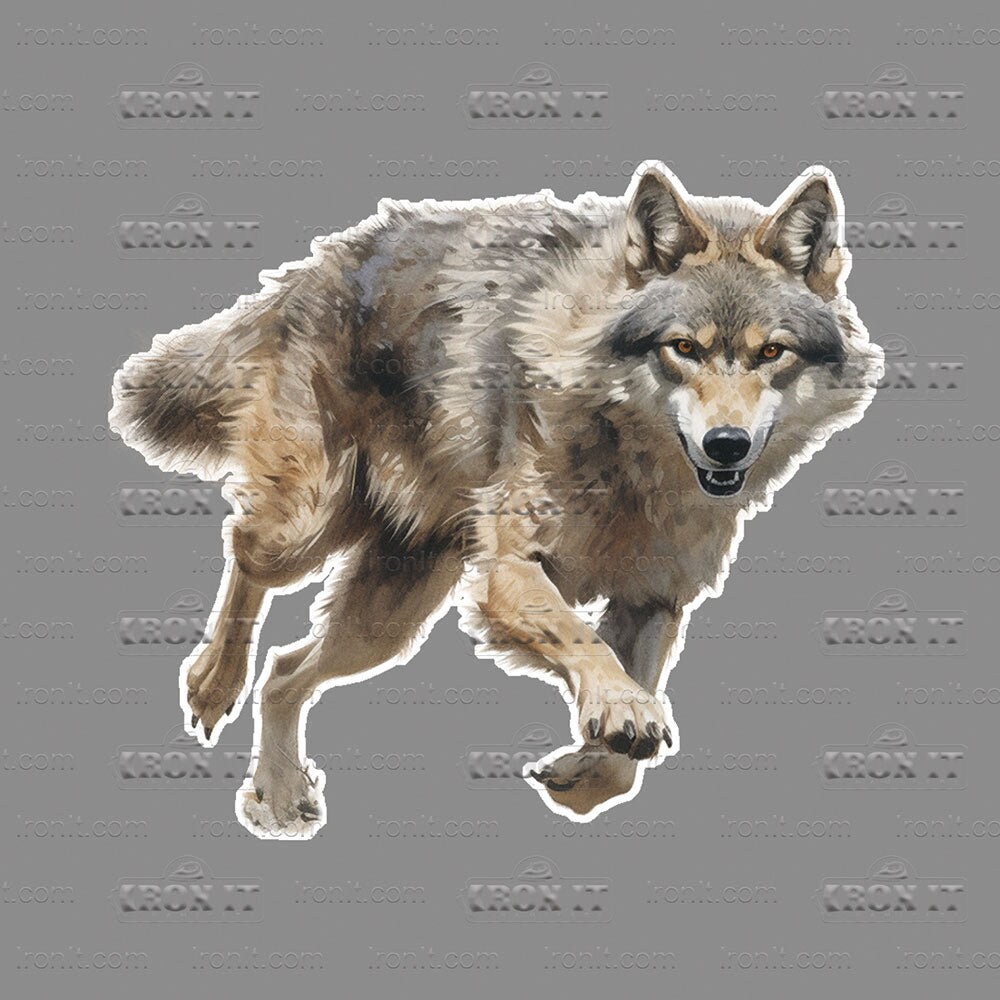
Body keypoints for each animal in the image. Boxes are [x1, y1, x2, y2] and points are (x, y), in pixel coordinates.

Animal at [109, 161, 883, 838]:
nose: (726, 445)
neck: (635, 467)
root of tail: (320, 263)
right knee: (244, 555)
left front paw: (586, 771)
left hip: (386, 621)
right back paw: (212, 685)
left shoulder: (655, 600)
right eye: (683, 348)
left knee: (285, 672)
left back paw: (277, 793)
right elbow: (583, 642)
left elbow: (624, 745)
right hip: (306, 529)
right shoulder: (509, 572)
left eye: (771, 353)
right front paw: (619, 712)